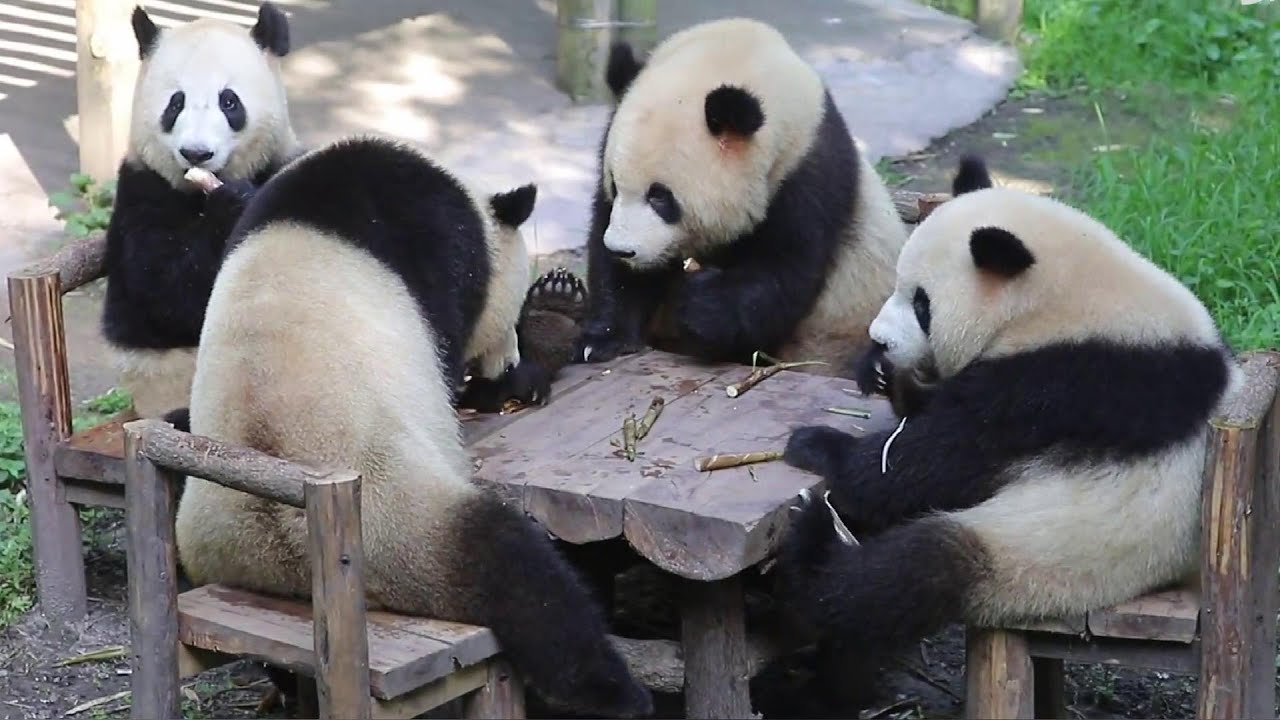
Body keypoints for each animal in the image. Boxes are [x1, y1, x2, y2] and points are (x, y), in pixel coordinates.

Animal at [100, 2, 302, 426]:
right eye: (175, 103)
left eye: (229, 102)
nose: (196, 153)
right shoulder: (141, 192)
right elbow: (164, 288)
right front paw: (231, 207)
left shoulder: (283, 164)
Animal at [172, 135, 652, 718]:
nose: (507, 360)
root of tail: (282, 542)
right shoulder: (437, 244)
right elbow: (451, 365)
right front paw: (509, 378)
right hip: (401, 519)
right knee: (523, 575)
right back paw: (616, 691)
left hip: (226, 558)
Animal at [574, 18, 909, 375]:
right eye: (614, 184)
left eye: (660, 197)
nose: (622, 250)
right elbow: (609, 252)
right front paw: (602, 338)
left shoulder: (808, 175)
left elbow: (782, 271)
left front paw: (701, 305)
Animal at [772, 155, 1241, 665]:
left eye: (922, 304)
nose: (879, 339)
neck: (1060, 300)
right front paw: (882, 374)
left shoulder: (1073, 381)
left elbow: (941, 453)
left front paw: (817, 445)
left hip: (1047, 554)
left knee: (908, 573)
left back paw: (817, 543)